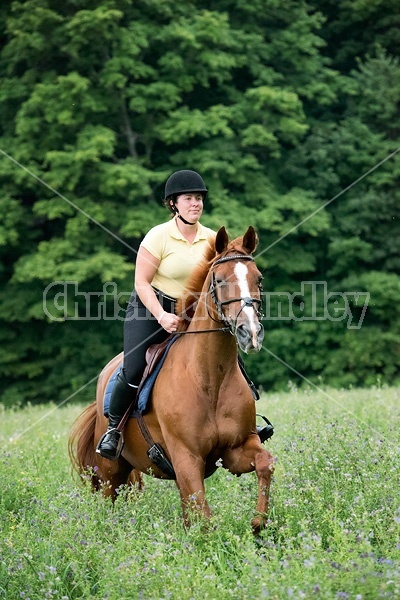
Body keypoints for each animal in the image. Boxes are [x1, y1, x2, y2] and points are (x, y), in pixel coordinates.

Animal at [69, 226, 276, 536]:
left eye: (258, 278)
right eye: (219, 280)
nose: (249, 333)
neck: (210, 379)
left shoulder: (234, 450)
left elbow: (266, 463)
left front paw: (258, 524)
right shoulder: (186, 458)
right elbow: (205, 519)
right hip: (110, 471)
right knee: (108, 503)